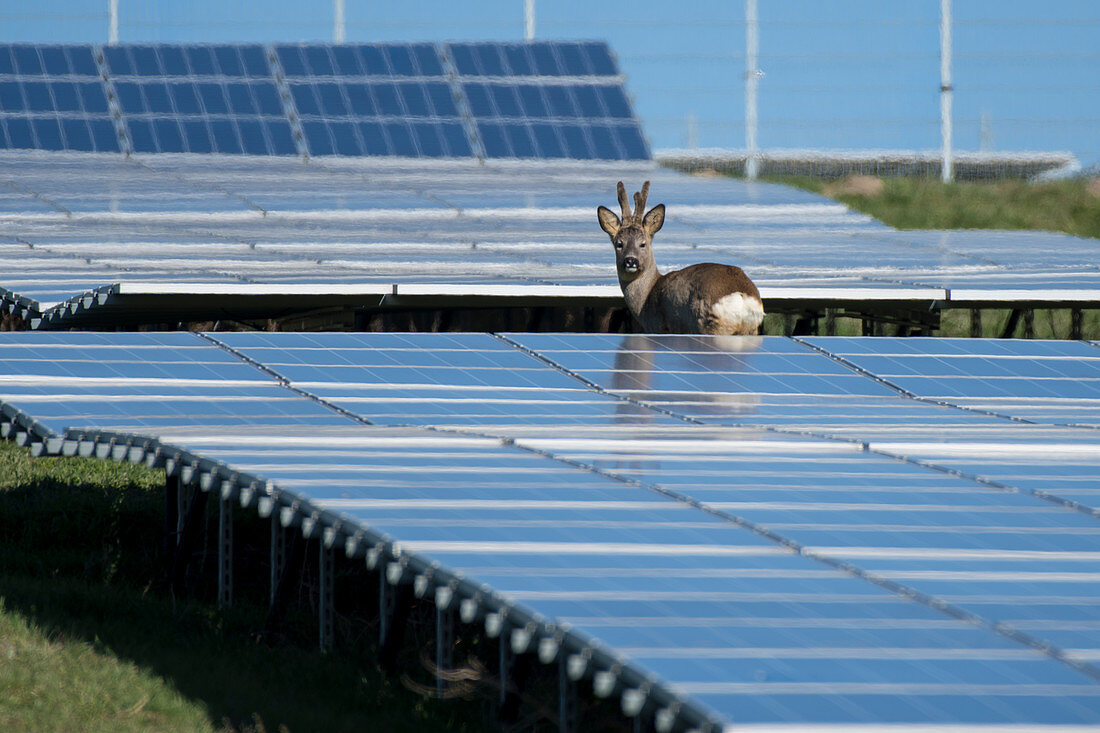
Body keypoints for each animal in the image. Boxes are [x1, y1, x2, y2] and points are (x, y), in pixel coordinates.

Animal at [594, 179, 765, 334]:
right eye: (619, 244)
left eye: (643, 244)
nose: (630, 261)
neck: (646, 298)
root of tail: (742, 298)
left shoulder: (658, 326)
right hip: (750, 330)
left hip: (710, 326)